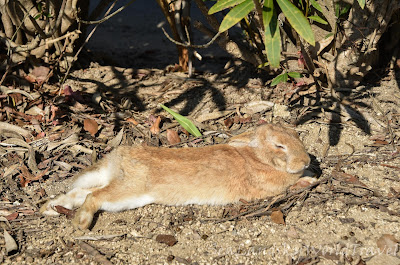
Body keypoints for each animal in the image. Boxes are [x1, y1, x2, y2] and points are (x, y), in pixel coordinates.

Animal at [40, 122, 310, 228]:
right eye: (279, 146)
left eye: (297, 134)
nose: (306, 161)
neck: (258, 157)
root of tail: (118, 159)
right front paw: (309, 179)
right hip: (128, 193)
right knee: (93, 198)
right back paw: (80, 222)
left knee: (80, 192)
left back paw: (49, 208)